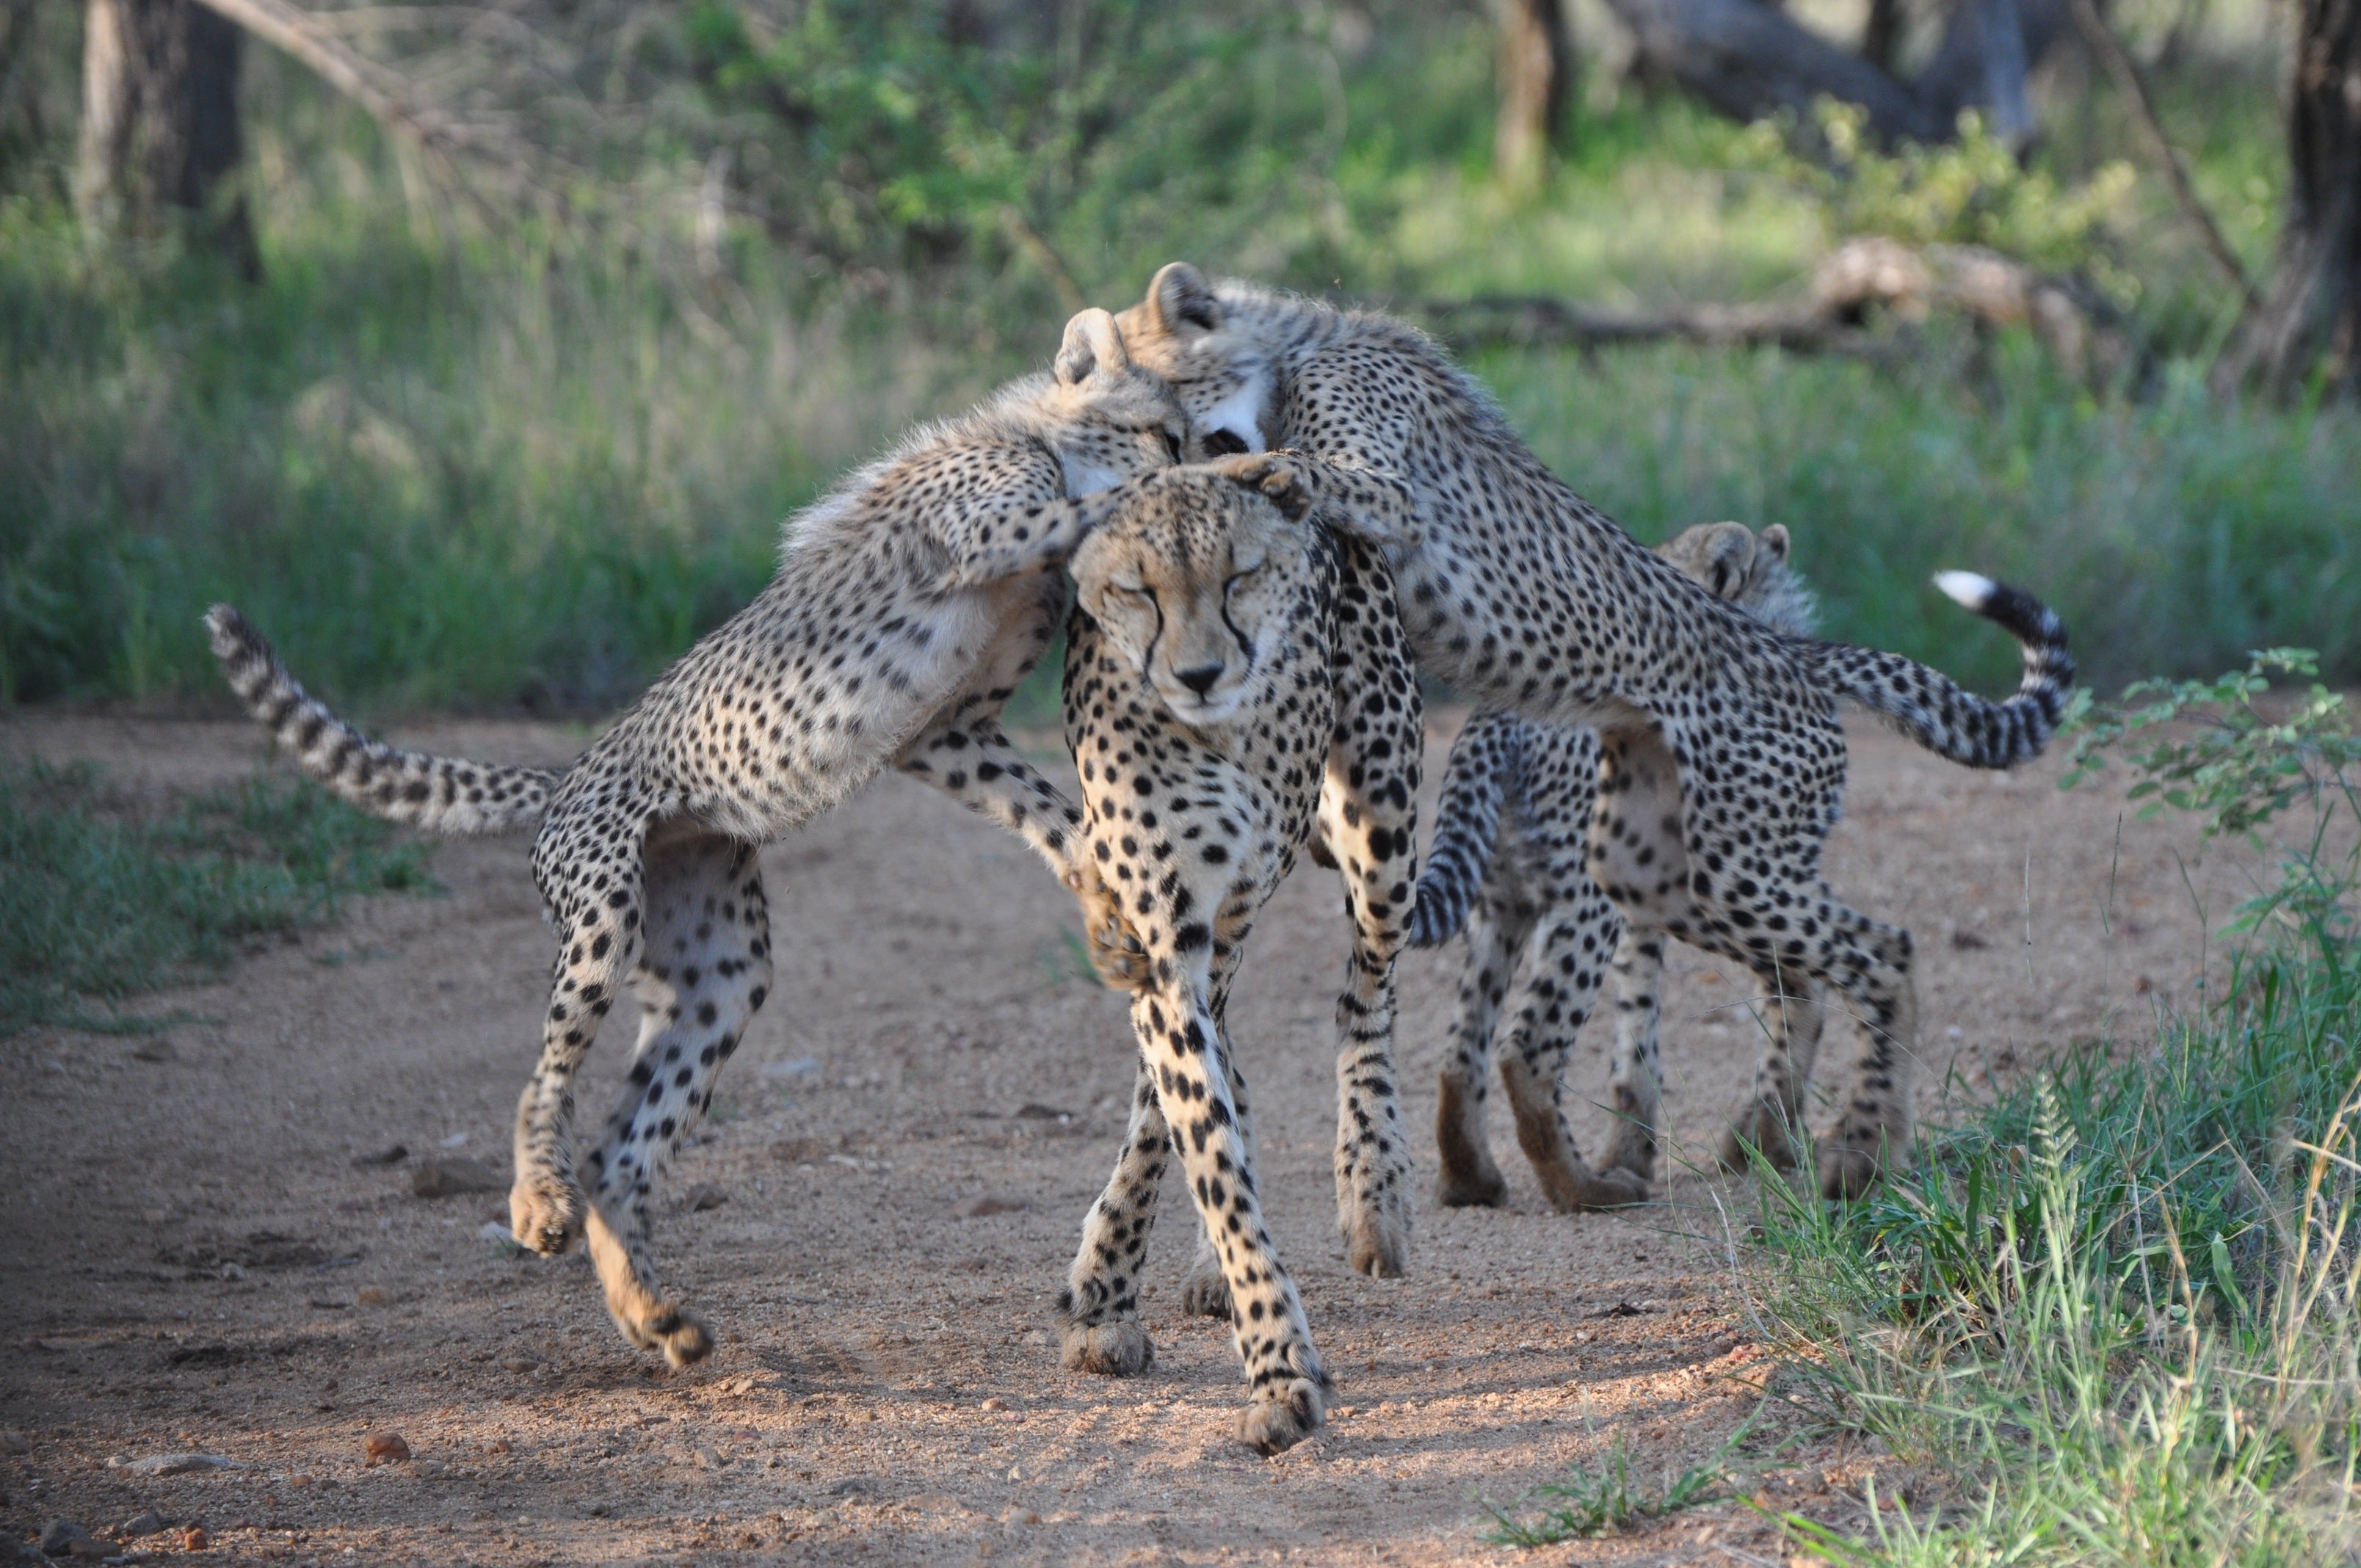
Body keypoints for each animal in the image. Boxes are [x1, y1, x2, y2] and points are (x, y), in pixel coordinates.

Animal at [205, 307, 1199, 1360]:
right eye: (1161, 430)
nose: (1197, 449)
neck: (1042, 440)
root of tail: (566, 774)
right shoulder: (981, 566)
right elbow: (1111, 504)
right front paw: (1230, 476)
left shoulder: (947, 734)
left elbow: (1051, 814)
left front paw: (1108, 908)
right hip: (603, 917)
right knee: (544, 1084)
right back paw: (537, 1205)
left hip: (719, 976)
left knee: (622, 1150)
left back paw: (656, 1315)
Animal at [1048, 455, 1407, 1454]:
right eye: (1138, 590)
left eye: (1240, 577)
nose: (1202, 672)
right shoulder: (1171, 934)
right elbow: (1203, 1140)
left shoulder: (1227, 918)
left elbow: (1189, 1127)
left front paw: (1277, 1368)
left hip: (1383, 835)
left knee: (1366, 995)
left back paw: (1373, 1194)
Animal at [1119, 266, 2068, 1199]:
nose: (1157, 455)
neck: (1294, 351)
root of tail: (1796, 660)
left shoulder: (1389, 491)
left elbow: (1284, 465)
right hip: (1660, 874)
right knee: (1737, 993)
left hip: (1709, 872)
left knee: (1876, 957)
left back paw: (1850, 1151)